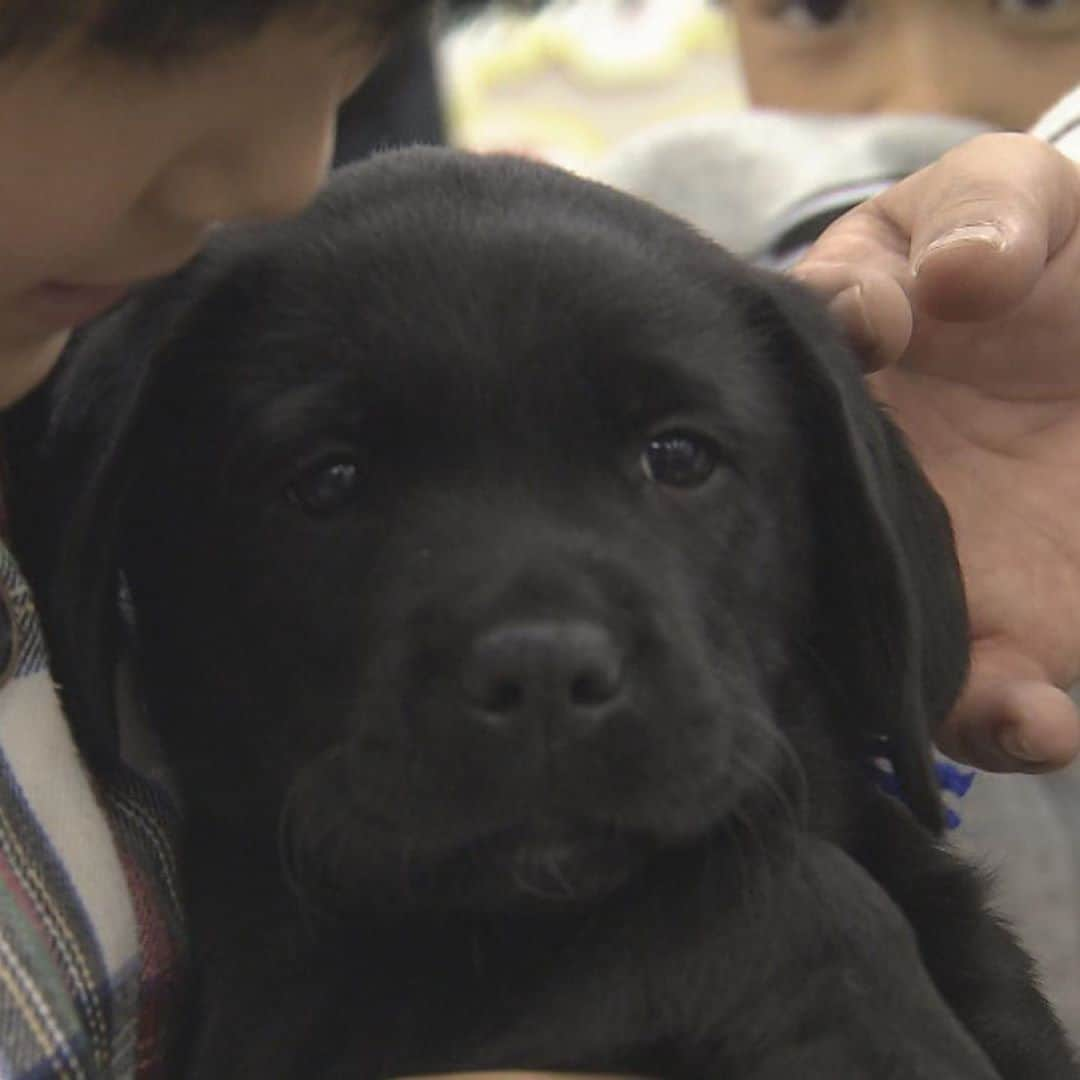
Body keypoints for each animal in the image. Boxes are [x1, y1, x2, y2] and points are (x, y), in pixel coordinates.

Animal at [19, 150, 1080, 1080]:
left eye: (679, 457)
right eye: (327, 480)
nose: (541, 675)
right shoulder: (290, 1024)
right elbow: (750, 900)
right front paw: (897, 1034)